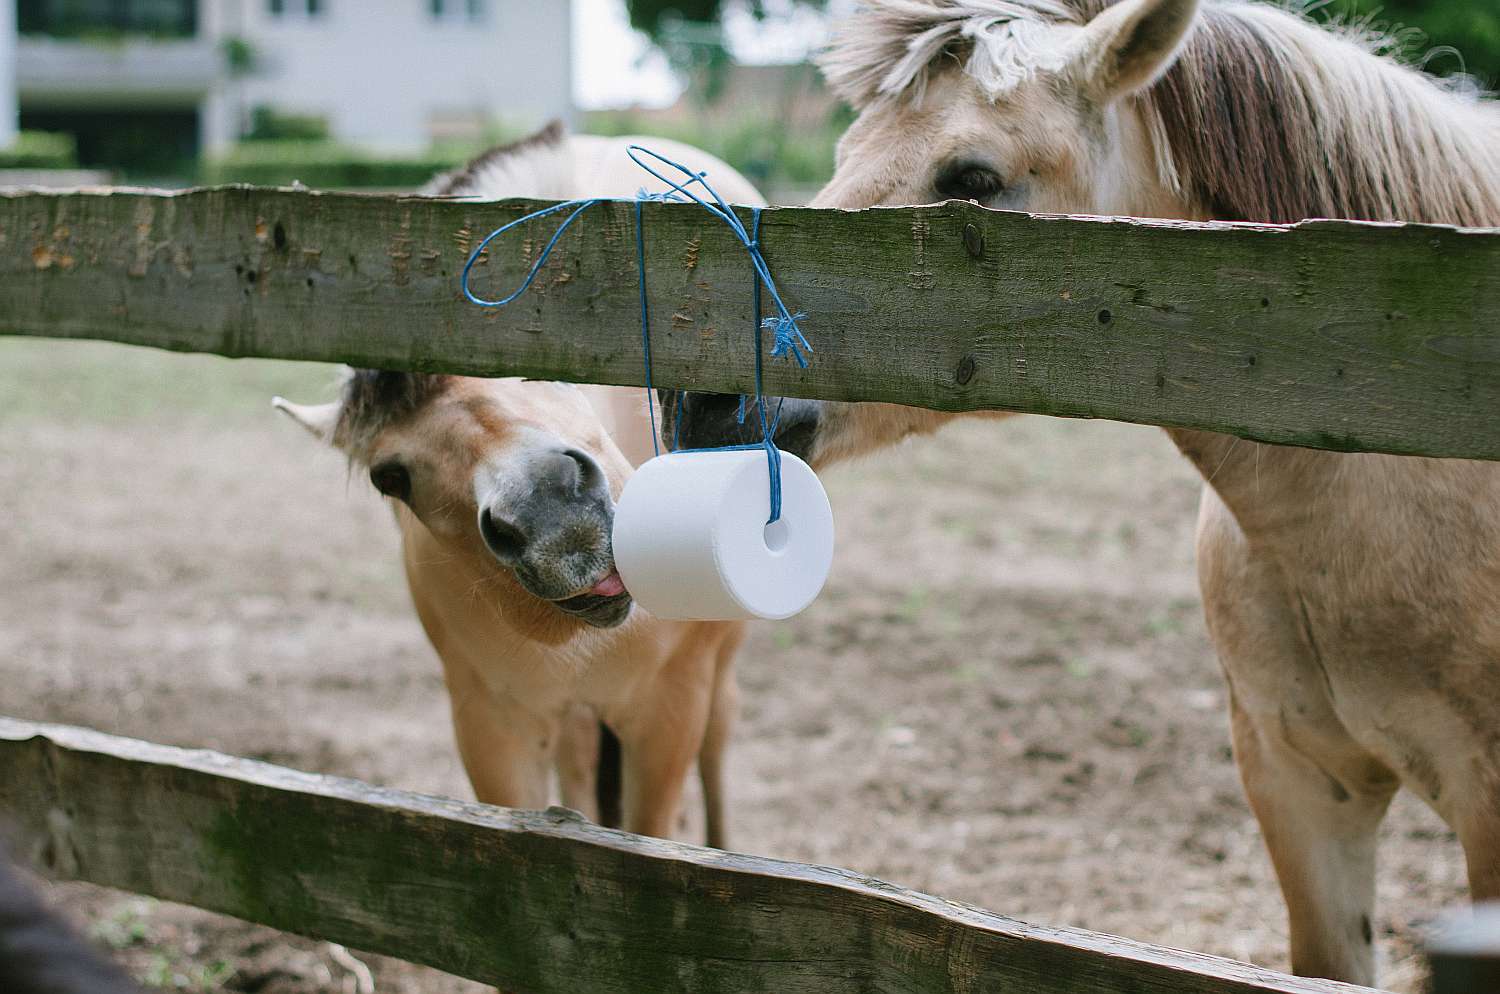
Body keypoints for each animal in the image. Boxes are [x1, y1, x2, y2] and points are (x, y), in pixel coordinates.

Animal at [276, 122, 762, 839]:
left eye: (547, 364)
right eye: (389, 478)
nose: (556, 520)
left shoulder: (669, 711)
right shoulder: (493, 724)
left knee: (720, 749)